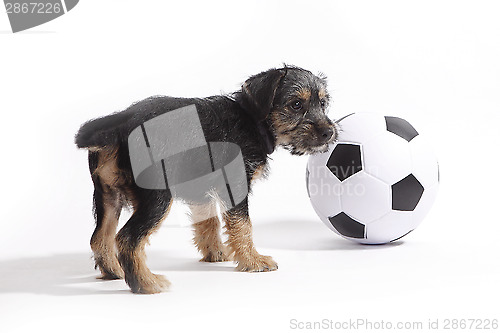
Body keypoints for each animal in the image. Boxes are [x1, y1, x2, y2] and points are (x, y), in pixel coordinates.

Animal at [75, 65, 336, 294]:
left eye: (323, 104)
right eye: (296, 104)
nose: (329, 132)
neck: (252, 119)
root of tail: (121, 123)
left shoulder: (200, 190)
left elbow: (208, 222)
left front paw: (216, 253)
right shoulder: (236, 185)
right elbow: (243, 225)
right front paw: (253, 261)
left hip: (108, 195)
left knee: (100, 237)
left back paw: (114, 271)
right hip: (157, 197)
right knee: (128, 238)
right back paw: (147, 283)